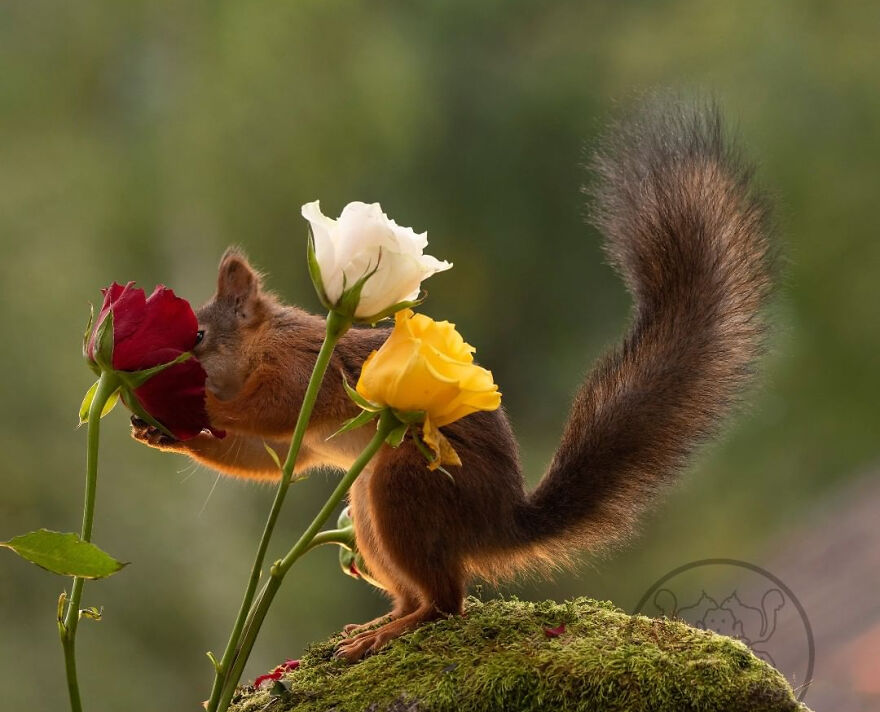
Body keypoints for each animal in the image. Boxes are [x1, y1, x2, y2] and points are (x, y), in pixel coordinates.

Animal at [132, 99, 774, 661]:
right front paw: (158, 432)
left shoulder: (299, 369)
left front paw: (200, 409)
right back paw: (378, 624)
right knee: (422, 594)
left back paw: (387, 634)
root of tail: (497, 521)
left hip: (405, 484)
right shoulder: (295, 442)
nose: (144, 378)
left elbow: (272, 412)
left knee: (448, 602)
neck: (260, 347)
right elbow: (259, 458)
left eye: (196, 336)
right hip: (371, 511)